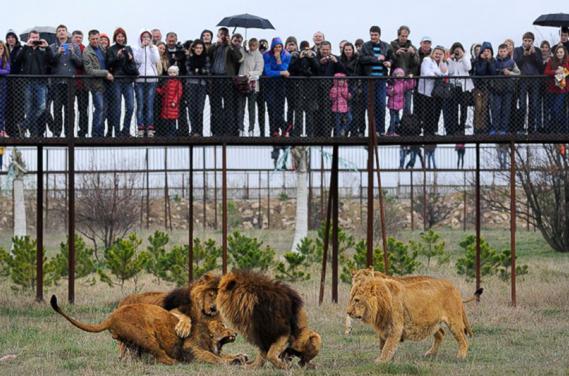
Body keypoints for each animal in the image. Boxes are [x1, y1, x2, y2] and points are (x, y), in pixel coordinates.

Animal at [49, 296, 244, 366]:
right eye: (223, 326)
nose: (235, 333)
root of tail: (112, 316)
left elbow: (222, 354)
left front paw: (239, 356)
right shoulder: (192, 350)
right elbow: (213, 357)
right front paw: (232, 361)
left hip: (134, 343)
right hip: (147, 337)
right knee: (163, 358)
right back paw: (176, 362)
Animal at [346, 274, 480, 362]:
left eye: (357, 300)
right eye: (350, 299)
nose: (348, 312)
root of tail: (454, 287)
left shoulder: (395, 328)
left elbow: (387, 347)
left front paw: (380, 361)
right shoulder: (384, 329)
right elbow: (383, 346)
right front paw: (387, 360)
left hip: (454, 322)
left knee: (463, 340)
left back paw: (460, 357)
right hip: (432, 322)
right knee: (441, 333)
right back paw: (430, 354)